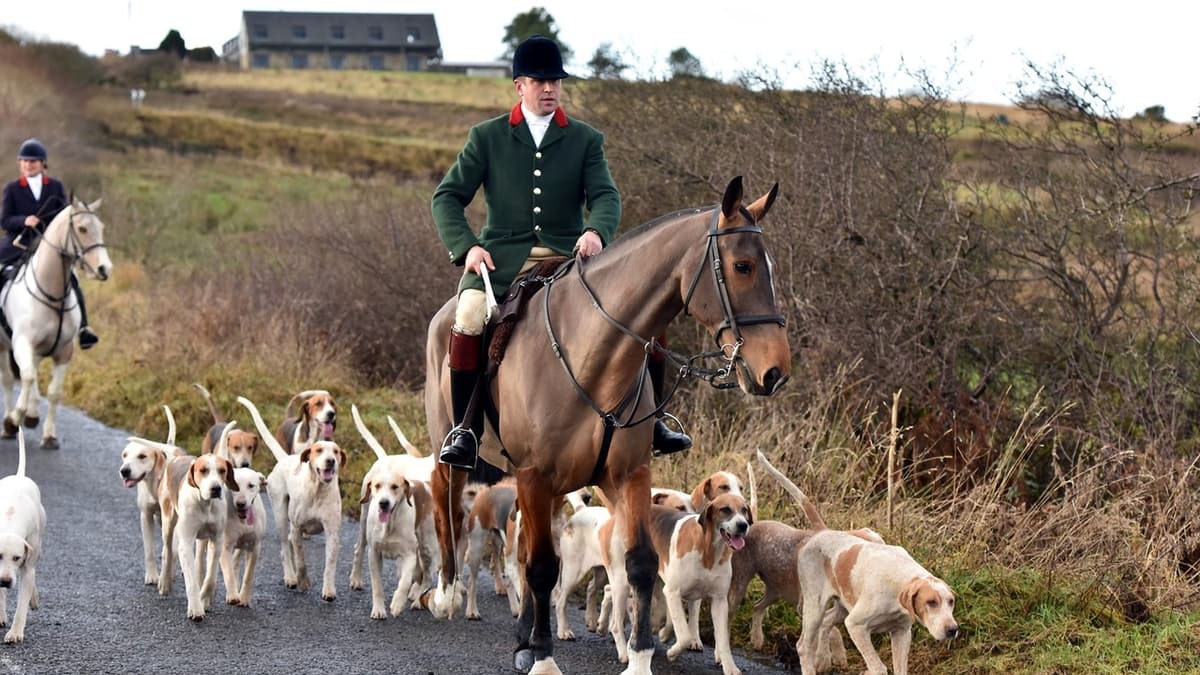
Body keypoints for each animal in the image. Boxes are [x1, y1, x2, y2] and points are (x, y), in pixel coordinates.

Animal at [0, 198, 112, 451]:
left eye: (101, 227)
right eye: (82, 229)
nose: (104, 269)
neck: (52, 293)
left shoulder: (64, 350)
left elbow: (53, 392)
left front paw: (49, 435)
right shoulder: (22, 343)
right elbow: (27, 377)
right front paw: (13, 420)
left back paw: (31, 414)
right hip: (3, 345)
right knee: (10, 379)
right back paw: (10, 422)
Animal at [427, 176, 792, 667]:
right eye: (743, 266)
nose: (776, 371)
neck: (594, 357)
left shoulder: (628, 475)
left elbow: (638, 563)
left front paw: (638, 656)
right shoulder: (536, 475)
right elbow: (543, 569)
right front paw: (544, 656)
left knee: (522, 552)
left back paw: (523, 634)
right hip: (454, 456)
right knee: (448, 513)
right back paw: (448, 594)